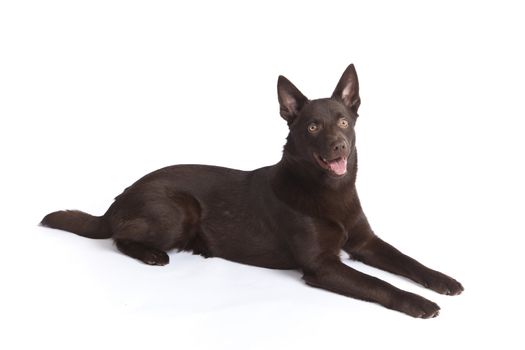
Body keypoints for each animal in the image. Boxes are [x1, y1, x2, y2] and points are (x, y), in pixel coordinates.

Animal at [42, 63, 462, 318]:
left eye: (344, 120)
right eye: (312, 126)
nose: (339, 146)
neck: (329, 191)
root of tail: (118, 199)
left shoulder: (365, 242)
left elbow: (407, 260)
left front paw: (443, 280)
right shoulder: (322, 266)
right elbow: (377, 283)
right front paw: (418, 302)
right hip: (179, 209)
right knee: (118, 236)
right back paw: (150, 254)